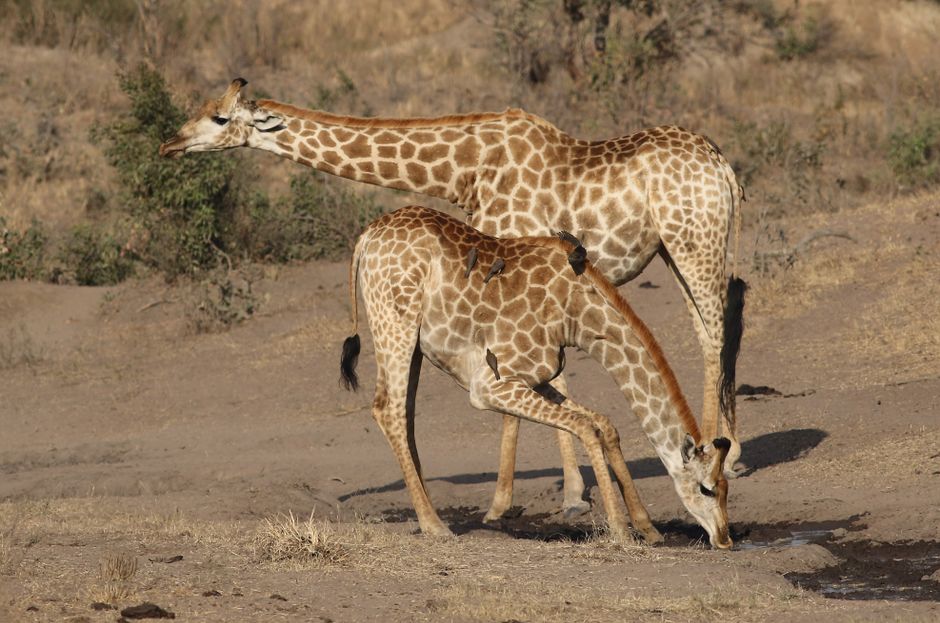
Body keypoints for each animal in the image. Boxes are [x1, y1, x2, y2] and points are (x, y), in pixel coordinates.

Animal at [338, 205, 733, 549]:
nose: (725, 539)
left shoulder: (536, 377)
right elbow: (586, 427)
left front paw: (648, 528)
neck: (578, 315)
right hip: (396, 323)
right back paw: (434, 525)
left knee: (403, 414)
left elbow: (604, 423)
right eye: (706, 488)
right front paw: (621, 531)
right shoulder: (489, 387)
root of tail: (367, 237)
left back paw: (431, 514)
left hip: (414, 342)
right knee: (387, 409)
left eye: (726, 487)